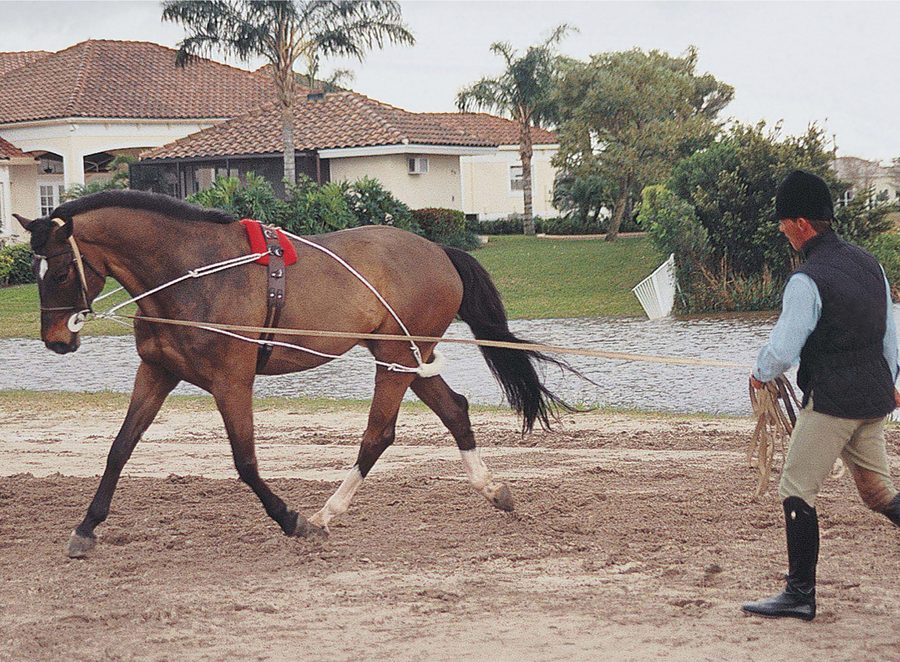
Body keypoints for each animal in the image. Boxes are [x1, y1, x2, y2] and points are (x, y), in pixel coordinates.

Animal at [14, 190, 572, 558]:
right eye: (35, 272)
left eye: (59, 271)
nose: (56, 340)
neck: (189, 274)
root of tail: (438, 250)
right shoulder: (156, 373)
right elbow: (120, 449)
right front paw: (86, 527)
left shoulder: (232, 383)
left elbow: (245, 463)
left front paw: (290, 519)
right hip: (407, 359)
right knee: (455, 411)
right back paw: (492, 490)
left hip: (393, 359)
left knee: (378, 434)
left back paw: (326, 513)